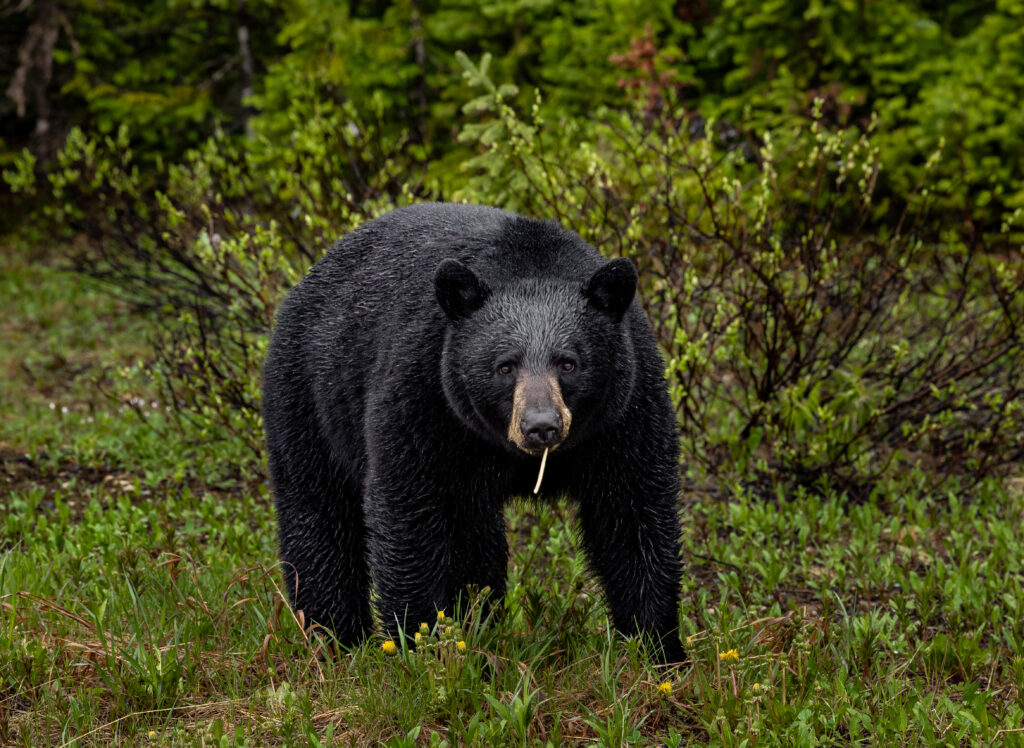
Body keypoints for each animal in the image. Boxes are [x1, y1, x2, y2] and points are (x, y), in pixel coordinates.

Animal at [260, 199, 684, 659]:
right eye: (505, 366)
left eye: (568, 363)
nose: (541, 427)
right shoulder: (424, 395)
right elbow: (410, 512)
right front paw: (418, 641)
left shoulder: (626, 414)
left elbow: (634, 512)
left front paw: (657, 648)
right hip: (308, 395)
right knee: (318, 516)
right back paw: (335, 637)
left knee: (476, 541)